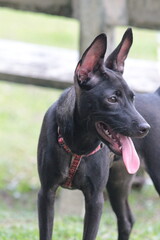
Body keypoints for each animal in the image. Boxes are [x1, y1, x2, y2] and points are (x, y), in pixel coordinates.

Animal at [37, 29, 150, 240]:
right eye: (112, 99)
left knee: (126, 220)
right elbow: (45, 232)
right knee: (127, 220)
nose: (145, 128)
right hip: (118, 183)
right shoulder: (46, 193)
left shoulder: (95, 199)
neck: (77, 144)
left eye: (133, 98)